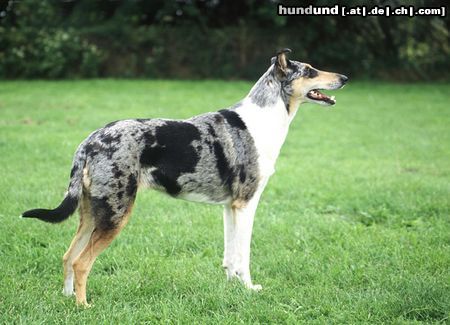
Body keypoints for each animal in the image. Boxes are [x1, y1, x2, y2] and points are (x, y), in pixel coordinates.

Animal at [22, 48, 350, 304]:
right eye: (310, 71)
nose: (344, 78)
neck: (265, 118)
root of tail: (90, 141)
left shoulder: (230, 207)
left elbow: (230, 254)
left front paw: (231, 288)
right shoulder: (247, 203)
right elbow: (243, 255)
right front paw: (249, 289)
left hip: (92, 211)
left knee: (67, 255)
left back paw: (67, 299)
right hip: (115, 213)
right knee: (81, 262)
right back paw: (84, 306)